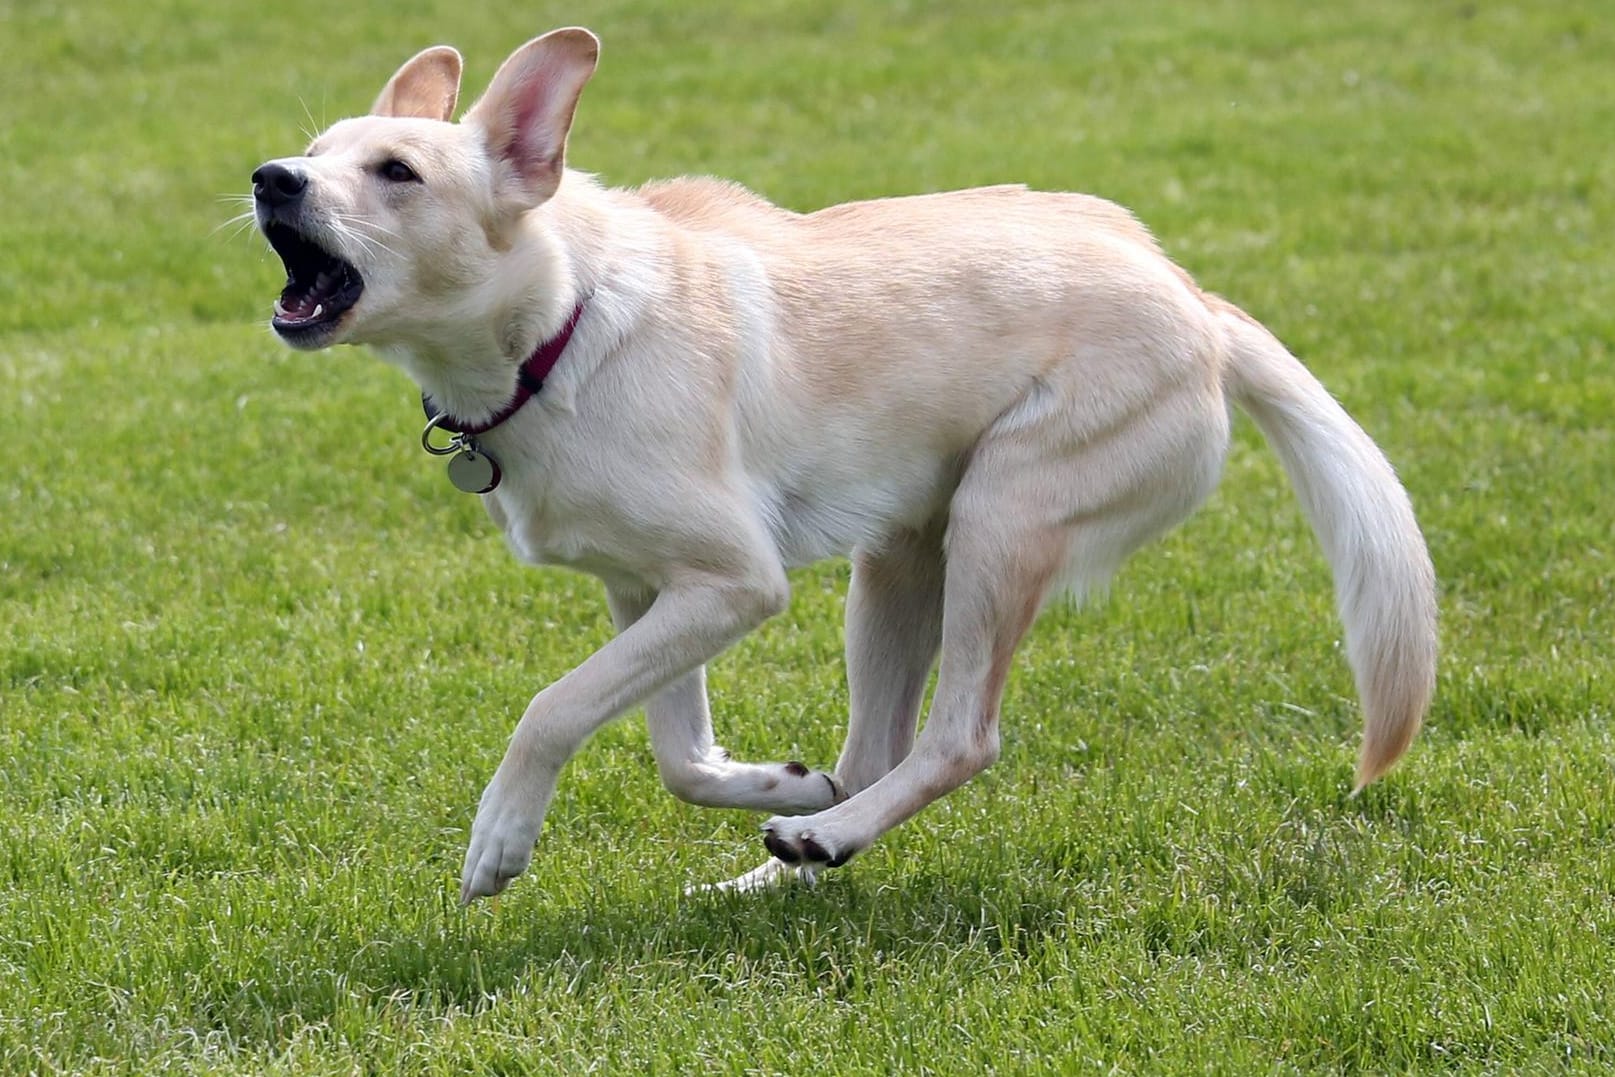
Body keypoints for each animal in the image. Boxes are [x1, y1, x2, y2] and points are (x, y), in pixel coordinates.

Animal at [248, 27, 1440, 904]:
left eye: (395, 172)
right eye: (318, 147)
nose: (268, 177)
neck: (561, 323)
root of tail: (1196, 297)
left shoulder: (736, 583)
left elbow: (552, 706)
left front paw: (498, 842)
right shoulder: (645, 591)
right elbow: (675, 753)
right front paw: (779, 777)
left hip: (1003, 516)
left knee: (959, 740)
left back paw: (824, 840)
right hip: (901, 554)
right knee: (877, 752)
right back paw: (788, 854)